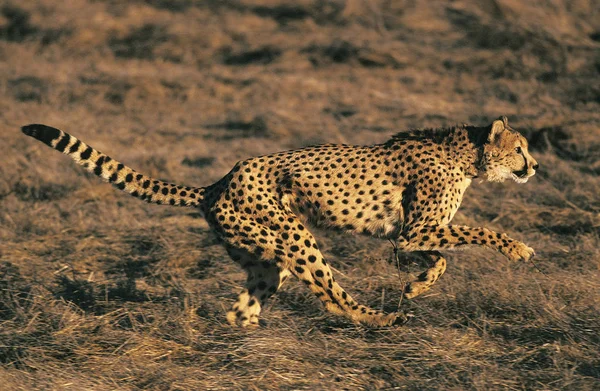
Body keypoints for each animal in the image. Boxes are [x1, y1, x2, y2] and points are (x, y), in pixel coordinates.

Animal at [22, 115, 540, 328]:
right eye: (520, 148)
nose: (535, 167)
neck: (466, 155)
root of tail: (218, 182)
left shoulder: (408, 235)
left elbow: (439, 258)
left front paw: (417, 284)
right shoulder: (417, 228)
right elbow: (477, 232)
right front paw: (519, 249)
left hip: (270, 257)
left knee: (243, 305)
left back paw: (246, 336)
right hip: (297, 238)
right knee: (333, 296)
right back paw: (379, 318)